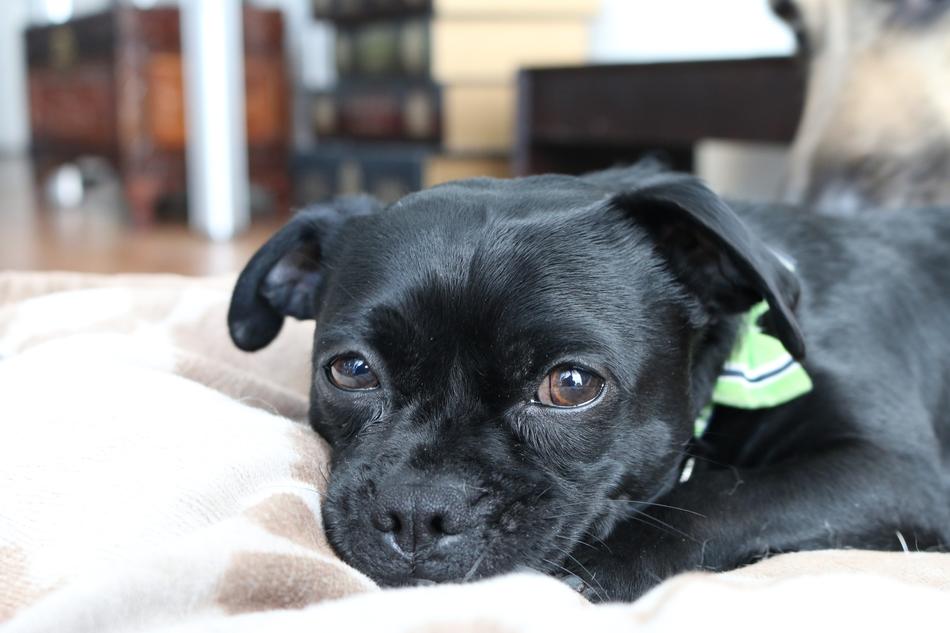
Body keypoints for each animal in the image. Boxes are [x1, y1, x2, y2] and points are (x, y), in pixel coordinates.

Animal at [229, 165, 950, 600]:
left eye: (571, 385)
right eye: (350, 370)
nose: (415, 511)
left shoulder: (894, 472)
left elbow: (723, 493)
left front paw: (600, 566)